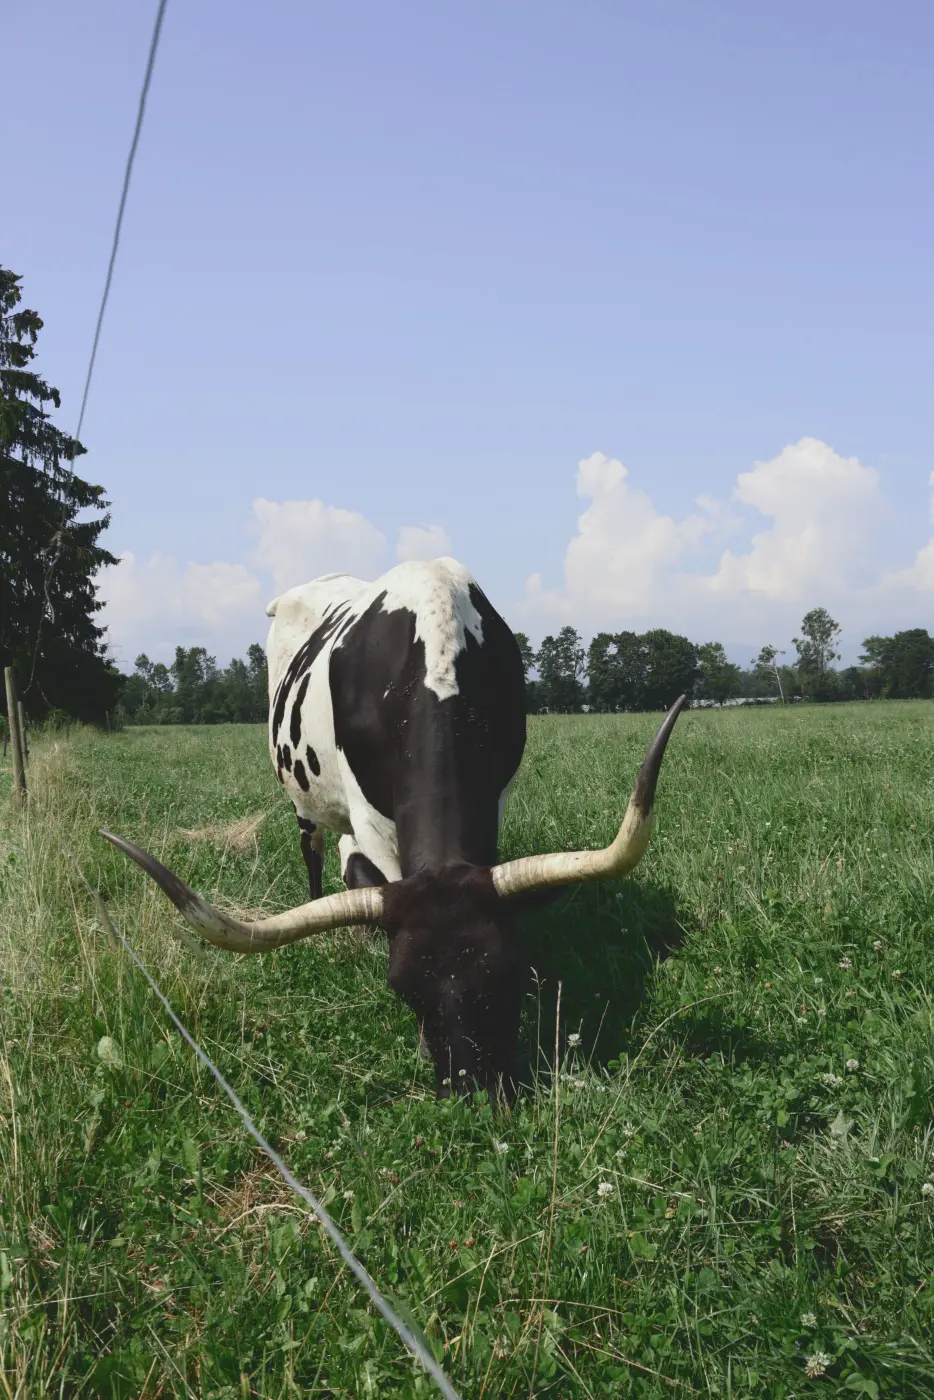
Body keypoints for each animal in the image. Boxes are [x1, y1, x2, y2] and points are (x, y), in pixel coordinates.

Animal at [101, 557, 684, 1100]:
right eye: (404, 990)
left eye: (509, 973)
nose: (471, 1089)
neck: (437, 657)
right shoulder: (371, 821)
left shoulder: (495, 797)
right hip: (302, 798)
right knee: (314, 852)